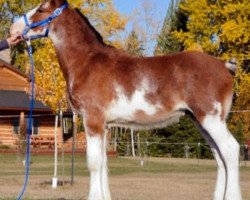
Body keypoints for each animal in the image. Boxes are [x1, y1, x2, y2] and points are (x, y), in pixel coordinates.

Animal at [10, 0, 242, 199]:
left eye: (41, 9)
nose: (13, 29)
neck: (86, 62)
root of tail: (224, 65)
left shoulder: (93, 120)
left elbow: (94, 163)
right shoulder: (104, 125)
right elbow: (103, 163)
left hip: (211, 118)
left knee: (230, 150)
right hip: (200, 120)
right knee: (219, 157)